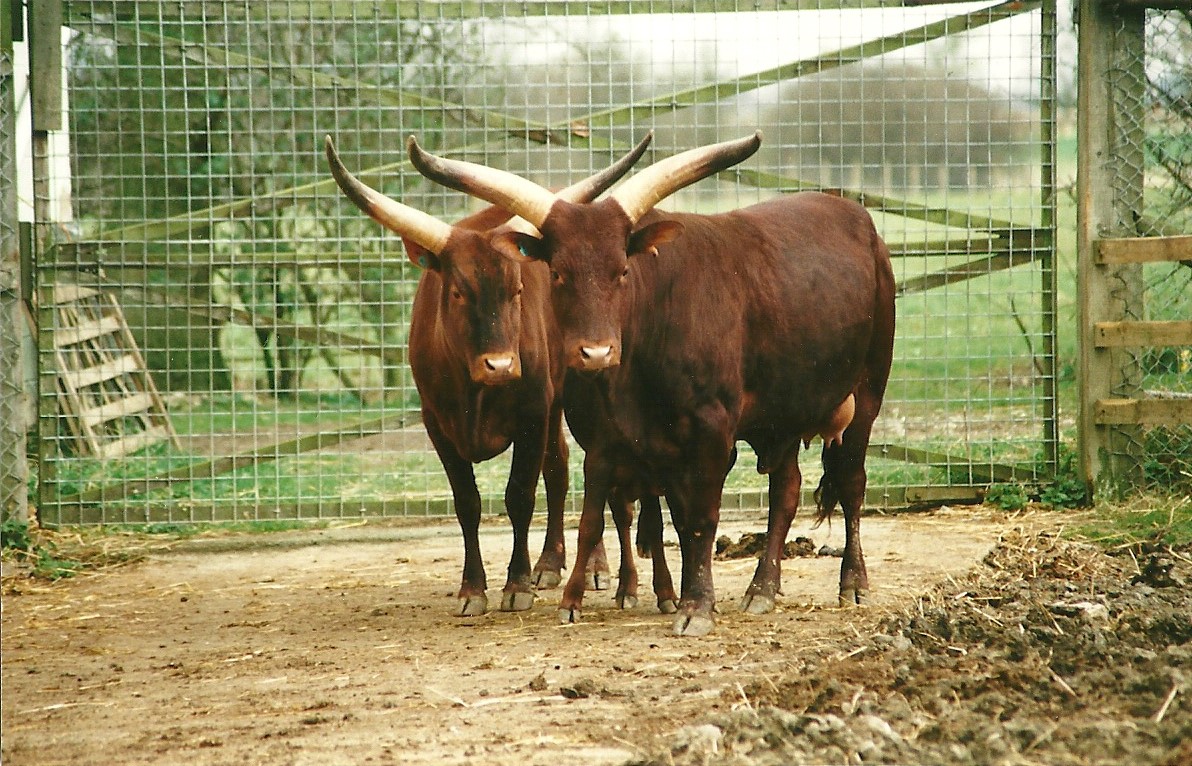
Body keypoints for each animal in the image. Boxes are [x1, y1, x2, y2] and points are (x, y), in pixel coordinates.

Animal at [325, 134, 655, 616]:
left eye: (517, 290)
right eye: (458, 292)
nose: (500, 365)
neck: (473, 391)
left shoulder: (532, 413)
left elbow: (520, 495)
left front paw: (515, 585)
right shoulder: (437, 426)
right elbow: (468, 502)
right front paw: (472, 588)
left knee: (579, 470)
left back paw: (593, 567)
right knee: (560, 467)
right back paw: (550, 563)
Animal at [406, 133, 897, 636]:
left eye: (622, 270)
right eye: (557, 272)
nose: (595, 353)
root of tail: (856, 216)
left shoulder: (712, 433)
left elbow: (700, 518)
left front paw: (696, 605)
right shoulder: (614, 441)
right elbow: (628, 518)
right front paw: (656, 594)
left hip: (867, 391)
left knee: (852, 482)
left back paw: (852, 582)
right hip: (783, 416)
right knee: (787, 490)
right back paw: (762, 589)